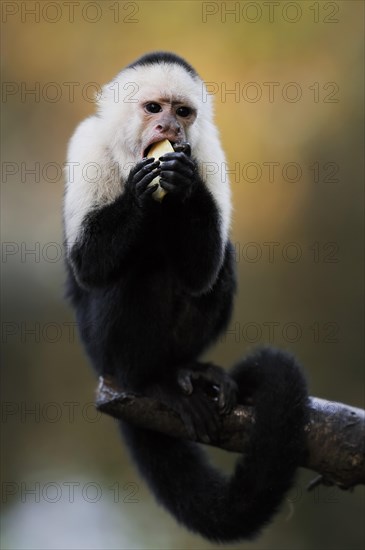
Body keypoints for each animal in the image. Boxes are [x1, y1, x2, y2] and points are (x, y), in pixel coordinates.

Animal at [63, 51, 308, 544]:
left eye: (183, 112)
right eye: (154, 109)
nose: (168, 129)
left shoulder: (208, 154)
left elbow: (204, 269)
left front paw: (182, 184)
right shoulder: (89, 145)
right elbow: (88, 265)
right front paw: (140, 196)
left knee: (216, 261)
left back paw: (189, 369)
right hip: (101, 351)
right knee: (139, 272)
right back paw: (147, 381)